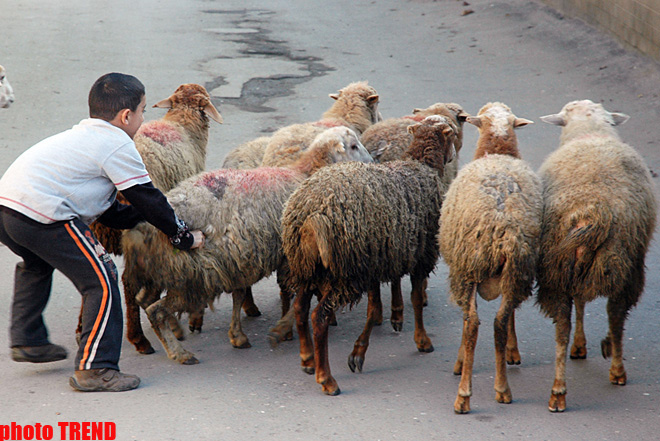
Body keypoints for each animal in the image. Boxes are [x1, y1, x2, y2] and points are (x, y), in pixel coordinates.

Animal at [120, 125, 374, 362]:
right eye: (353, 146)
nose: (372, 161)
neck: (302, 173)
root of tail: (141, 230)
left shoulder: (238, 260)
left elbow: (240, 294)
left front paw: (238, 335)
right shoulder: (286, 257)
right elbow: (295, 296)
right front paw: (281, 329)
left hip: (166, 270)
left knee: (145, 300)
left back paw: (175, 331)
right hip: (192, 276)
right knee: (156, 310)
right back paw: (178, 352)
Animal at [282, 114, 456, 396]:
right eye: (452, 135)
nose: (452, 156)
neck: (420, 166)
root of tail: (311, 216)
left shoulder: (377, 260)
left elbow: (374, 308)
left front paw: (359, 351)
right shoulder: (422, 255)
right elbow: (416, 299)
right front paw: (422, 341)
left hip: (307, 266)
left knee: (299, 308)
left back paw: (307, 360)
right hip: (344, 272)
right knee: (318, 318)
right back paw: (326, 379)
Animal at [436, 102, 540, 412]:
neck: (497, 150)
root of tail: (500, 227)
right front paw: (512, 352)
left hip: (468, 267)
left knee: (472, 323)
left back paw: (464, 394)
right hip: (516, 269)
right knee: (500, 322)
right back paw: (502, 388)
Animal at [536, 99, 656, 412]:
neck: (588, 132)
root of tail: (591, 211)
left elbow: (580, 302)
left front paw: (580, 345)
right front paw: (599, 346)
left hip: (558, 268)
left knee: (562, 328)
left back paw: (558, 391)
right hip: (625, 264)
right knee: (616, 315)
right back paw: (616, 367)